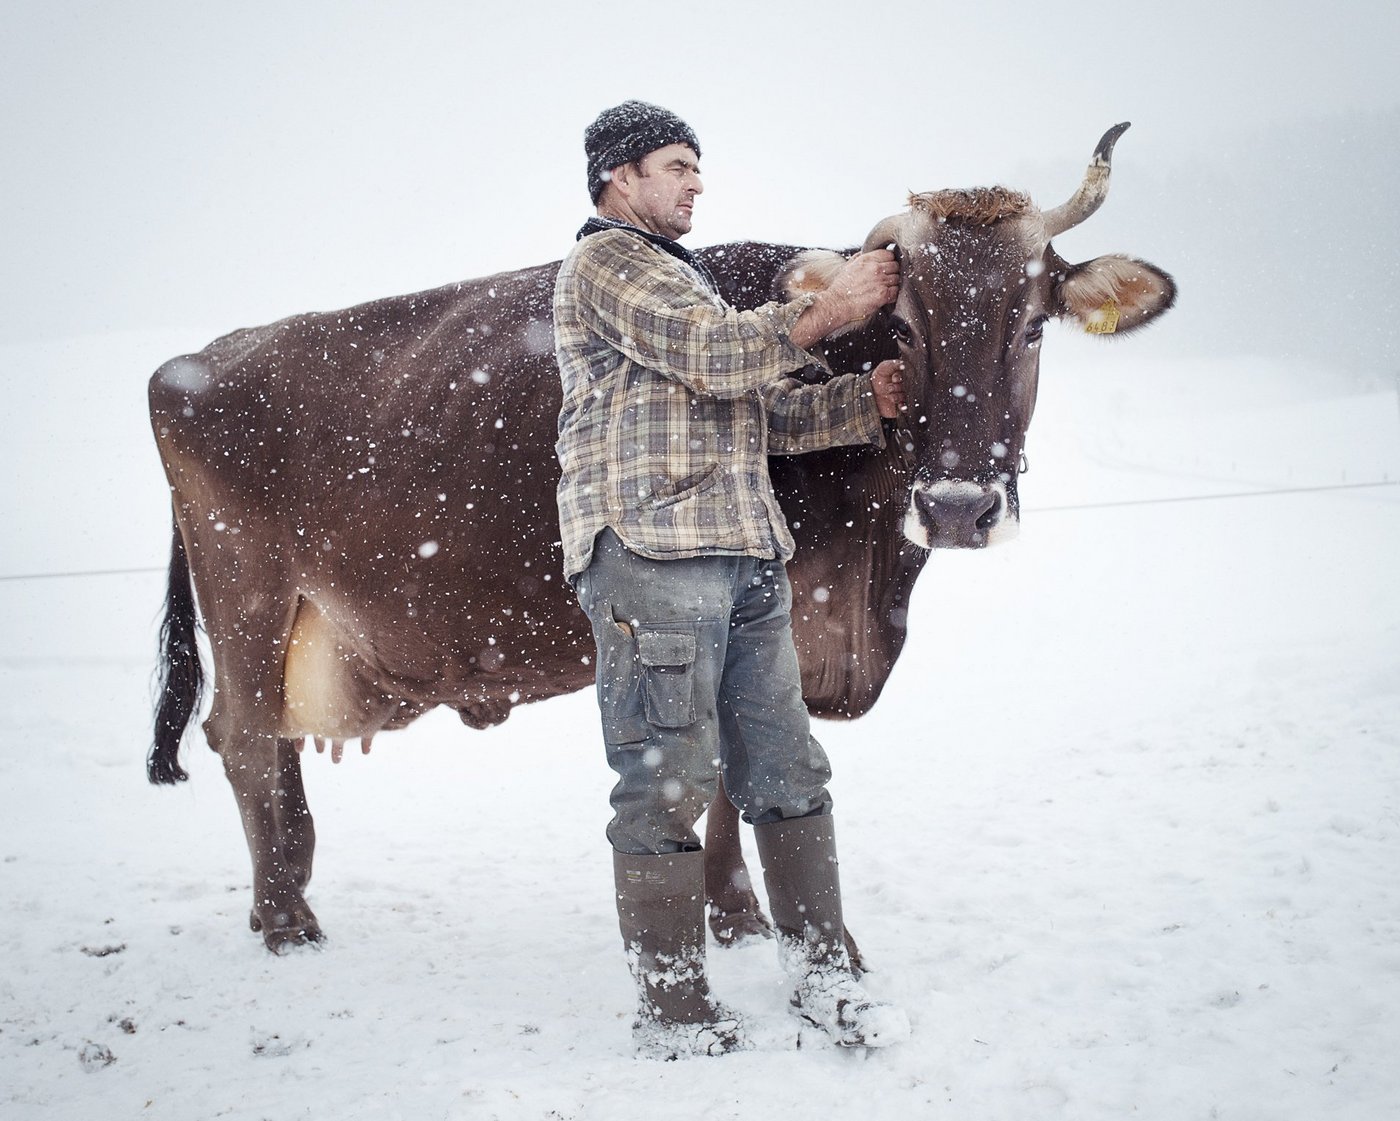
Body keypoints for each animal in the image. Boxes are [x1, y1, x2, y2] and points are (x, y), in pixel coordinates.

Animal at [149, 124, 1175, 953]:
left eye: (1033, 326)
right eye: (907, 326)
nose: (960, 506)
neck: (875, 581)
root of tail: (194, 362)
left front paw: (738, 908)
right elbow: (724, 767)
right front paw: (735, 909)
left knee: (264, 740)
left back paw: (285, 892)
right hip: (245, 590)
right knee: (243, 734)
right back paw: (286, 918)